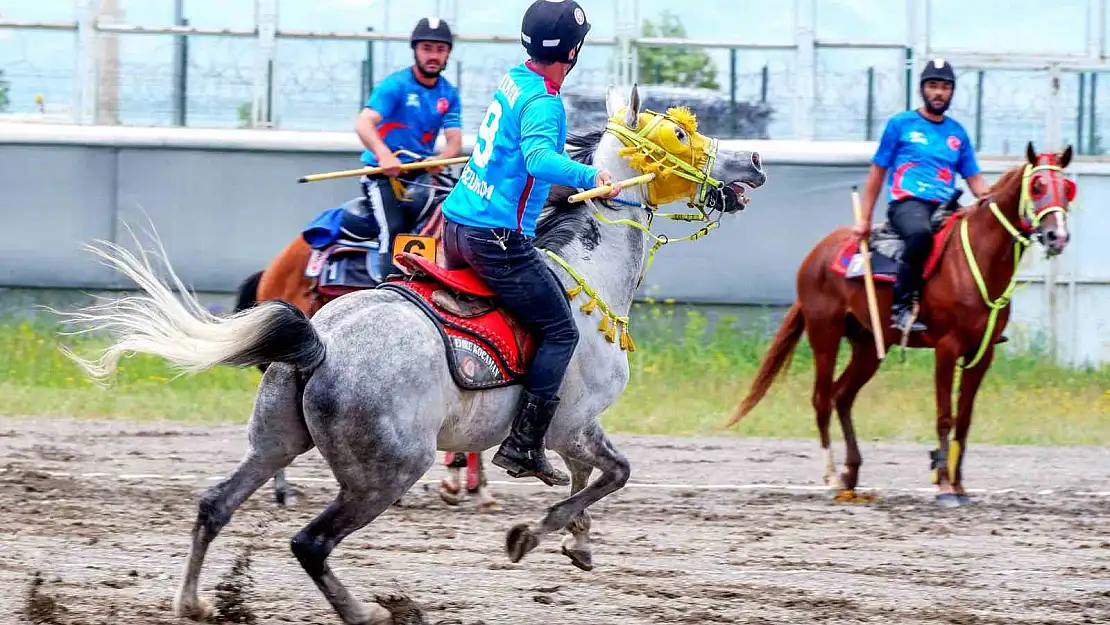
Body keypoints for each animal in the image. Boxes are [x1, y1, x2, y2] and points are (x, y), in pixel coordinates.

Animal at [728, 143, 1074, 508]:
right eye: (1037, 186)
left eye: (1066, 188)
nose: (1057, 235)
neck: (977, 260)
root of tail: (816, 255)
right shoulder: (947, 348)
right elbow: (945, 415)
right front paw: (944, 486)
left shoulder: (981, 355)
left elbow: (964, 419)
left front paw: (959, 485)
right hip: (825, 335)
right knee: (822, 399)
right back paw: (832, 478)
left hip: (868, 346)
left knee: (842, 397)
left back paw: (851, 476)